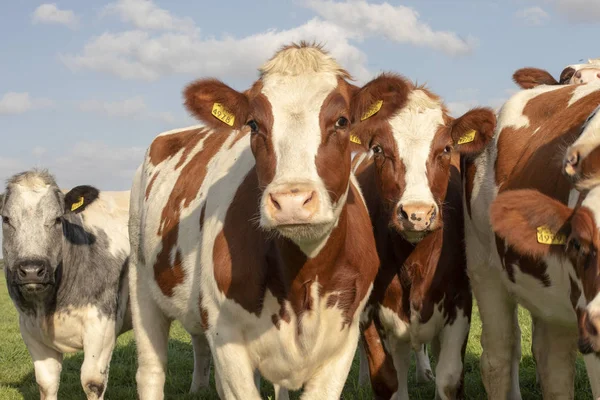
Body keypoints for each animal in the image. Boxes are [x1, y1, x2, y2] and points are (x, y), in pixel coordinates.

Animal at [346, 73, 496, 398]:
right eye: (379, 149)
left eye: (446, 149)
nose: (417, 214)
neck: (413, 261)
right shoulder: (371, 310)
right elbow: (388, 379)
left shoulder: (459, 301)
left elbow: (450, 377)